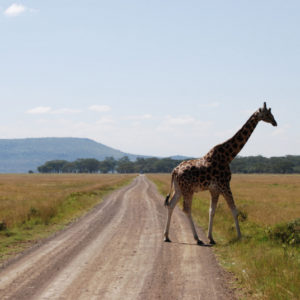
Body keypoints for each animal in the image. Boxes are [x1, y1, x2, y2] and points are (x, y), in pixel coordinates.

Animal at [164, 102, 276, 245]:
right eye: (267, 114)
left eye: (271, 113)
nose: (275, 123)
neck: (229, 156)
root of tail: (174, 171)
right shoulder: (225, 185)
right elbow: (234, 210)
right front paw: (240, 237)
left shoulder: (215, 189)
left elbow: (212, 211)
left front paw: (211, 238)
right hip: (188, 190)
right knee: (186, 209)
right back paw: (197, 238)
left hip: (179, 189)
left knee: (171, 205)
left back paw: (167, 236)